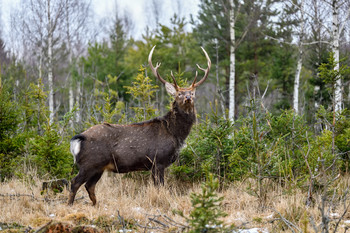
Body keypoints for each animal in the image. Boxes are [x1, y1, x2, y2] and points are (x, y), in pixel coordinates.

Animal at [67, 45, 211, 206]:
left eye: (192, 93)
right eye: (178, 94)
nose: (187, 98)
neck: (175, 133)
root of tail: (79, 138)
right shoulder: (158, 161)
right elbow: (160, 187)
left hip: (98, 167)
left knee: (89, 185)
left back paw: (95, 205)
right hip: (90, 163)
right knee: (74, 182)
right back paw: (70, 204)